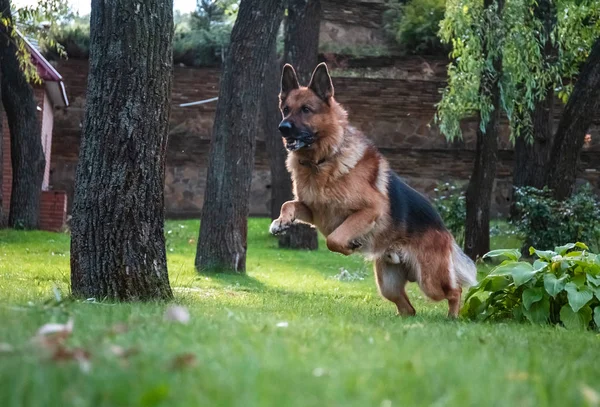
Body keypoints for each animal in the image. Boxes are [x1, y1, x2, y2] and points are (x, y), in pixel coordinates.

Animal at [270, 63, 476, 318]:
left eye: (306, 110)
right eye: (286, 109)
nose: (283, 128)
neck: (323, 160)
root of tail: (443, 228)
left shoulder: (370, 210)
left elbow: (334, 239)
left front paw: (349, 246)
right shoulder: (313, 211)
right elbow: (288, 204)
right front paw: (281, 222)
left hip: (430, 281)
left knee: (455, 290)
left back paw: (453, 317)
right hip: (389, 285)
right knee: (409, 308)